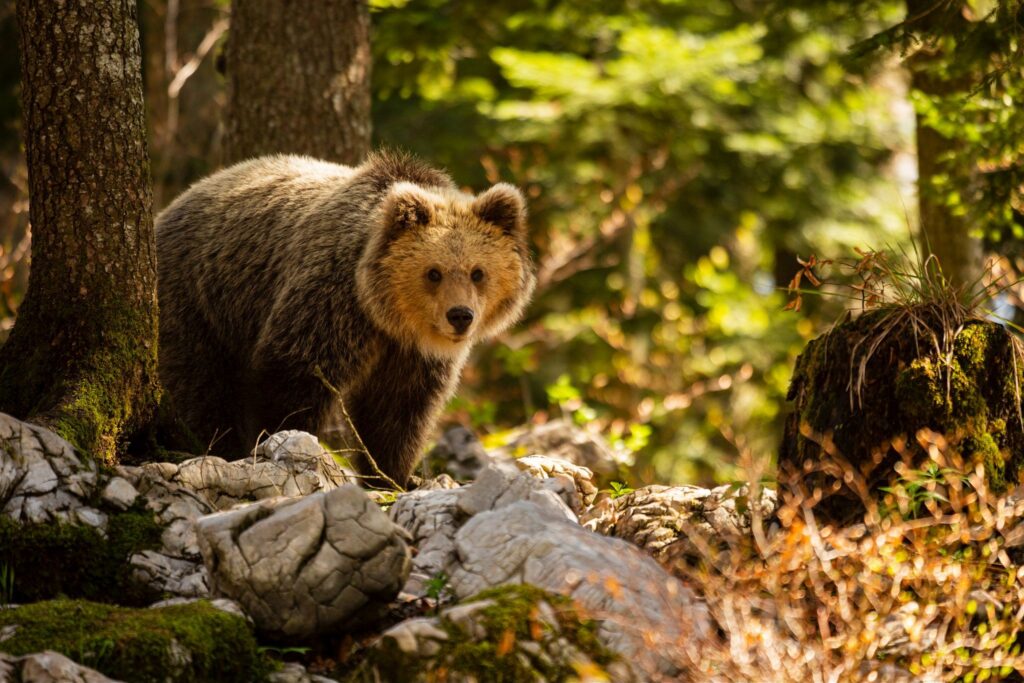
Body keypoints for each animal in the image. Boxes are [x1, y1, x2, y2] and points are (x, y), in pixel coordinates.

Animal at [156, 153, 540, 485]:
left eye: (478, 272)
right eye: (434, 272)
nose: (460, 316)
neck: (385, 314)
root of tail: (169, 207)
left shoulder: (410, 354)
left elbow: (396, 410)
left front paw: (393, 476)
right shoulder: (330, 303)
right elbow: (291, 376)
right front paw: (278, 444)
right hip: (198, 300)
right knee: (199, 383)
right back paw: (214, 445)